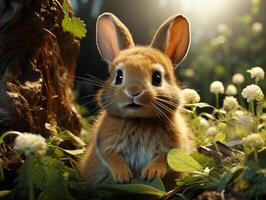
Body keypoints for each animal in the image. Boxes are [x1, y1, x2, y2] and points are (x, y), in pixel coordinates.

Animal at [79, 12, 195, 189]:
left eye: (157, 78)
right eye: (119, 77)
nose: (133, 92)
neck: (139, 120)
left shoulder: (174, 146)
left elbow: (164, 159)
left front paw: (151, 173)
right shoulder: (105, 143)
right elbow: (111, 157)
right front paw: (123, 176)